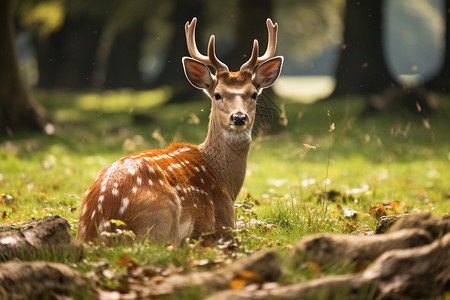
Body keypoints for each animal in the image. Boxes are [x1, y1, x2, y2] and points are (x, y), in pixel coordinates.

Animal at [76, 17, 282, 245]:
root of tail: (101, 225)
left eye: (254, 94)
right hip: (163, 215)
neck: (226, 182)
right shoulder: (225, 223)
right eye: (217, 94)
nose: (238, 117)